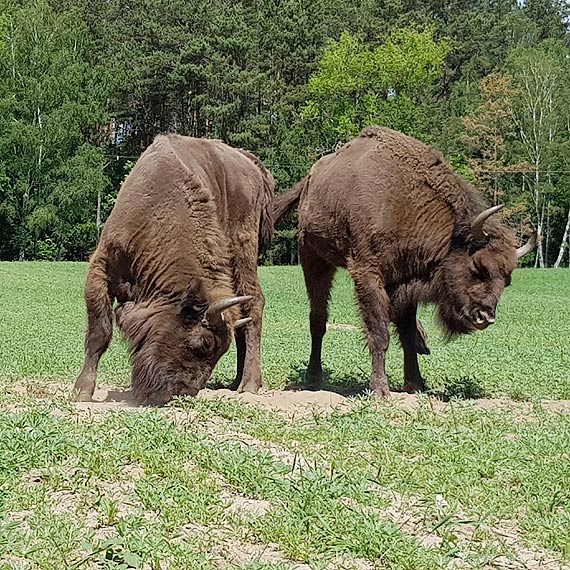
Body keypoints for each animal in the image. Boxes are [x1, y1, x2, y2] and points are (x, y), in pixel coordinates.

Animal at [72, 134, 272, 404]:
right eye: (203, 343)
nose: (184, 390)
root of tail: (250, 162)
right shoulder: (101, 267)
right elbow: (99, 332)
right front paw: (82, 391)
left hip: (244, 246)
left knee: (254, 303)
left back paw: (249, 384)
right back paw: (235, 382)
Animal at [272, 127, 536, 398]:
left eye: (507, 281)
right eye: (478, 268)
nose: (484, 317)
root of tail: (310, 179)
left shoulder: (405, 282)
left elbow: (407, 333)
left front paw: (415, 384)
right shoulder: (367, 273)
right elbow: (379, 333)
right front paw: (380, 390)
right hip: (314, 258)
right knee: (318, 319)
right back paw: (314, 379)